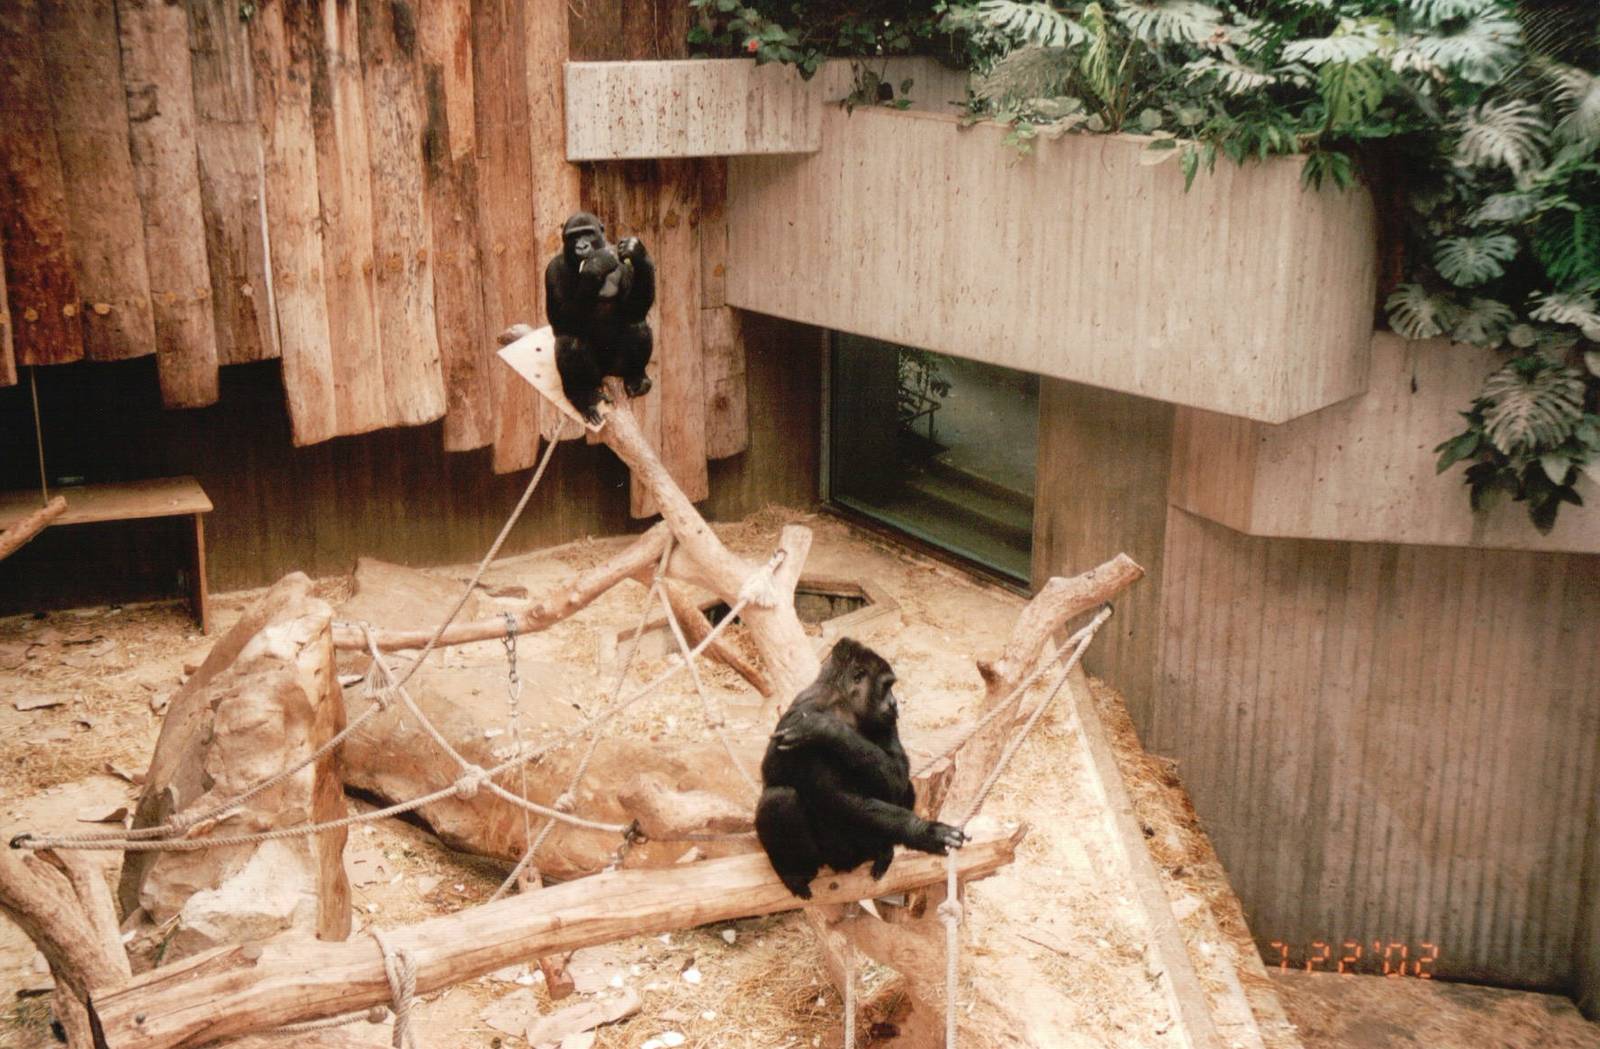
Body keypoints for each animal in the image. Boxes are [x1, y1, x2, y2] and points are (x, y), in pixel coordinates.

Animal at [543, 212, 655, 424]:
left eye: (588, 233)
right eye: (573, 236)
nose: (581, 246)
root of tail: (606, 375)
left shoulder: (621, 260)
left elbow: (634, 308)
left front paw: (637, 252)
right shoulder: (552, 270)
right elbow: (561, 322)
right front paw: (595, 267)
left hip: (617, 369)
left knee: (637, 324)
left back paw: (636, 377)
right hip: (595, 376)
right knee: (570, 340)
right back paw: (582, 395)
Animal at [755, 638, 967, 900]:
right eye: (886, 686)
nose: (895, 703)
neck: (843, 702)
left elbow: (897, 774)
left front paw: (826, 728)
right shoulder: (803, 714)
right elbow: (836, 796)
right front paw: (926, 832)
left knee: (902, 785)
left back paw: (883, 851)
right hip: (832, 856)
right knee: (778, 797)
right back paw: (794, 873)